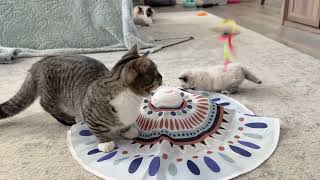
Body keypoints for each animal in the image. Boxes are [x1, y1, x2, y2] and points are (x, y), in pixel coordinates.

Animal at [0, 45, 162, 153]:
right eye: (155, 74)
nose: (161, 77)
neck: (131, 100)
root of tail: (39, 63)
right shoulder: (91, 115)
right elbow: (99, 131)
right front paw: (105, 143)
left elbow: (125, 125)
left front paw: (128, 130)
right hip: (53, 97)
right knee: (45, 104)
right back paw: (68, 118)